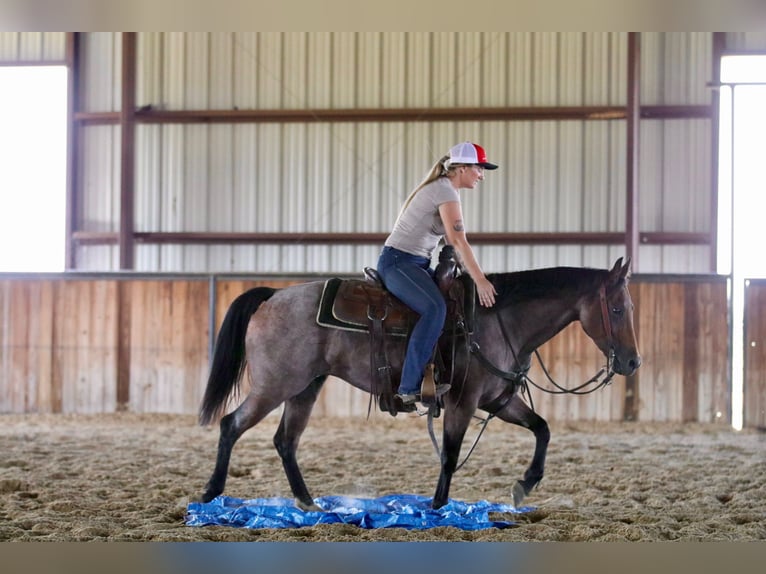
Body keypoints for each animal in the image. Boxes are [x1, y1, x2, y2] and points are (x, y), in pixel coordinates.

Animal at [197, 257, 641, 510]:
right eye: (619, 308)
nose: (633, 362)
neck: (498, 320)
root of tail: (274, 296)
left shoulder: (498, 400)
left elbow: (543, 429)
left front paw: (523, 485)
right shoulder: (463, 401)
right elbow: (449, 454)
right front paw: (438, 506)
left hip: (306, 386)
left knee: (285, 440)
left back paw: (309, 504)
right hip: (274, 385)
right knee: (231, 425)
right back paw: (211, 494)